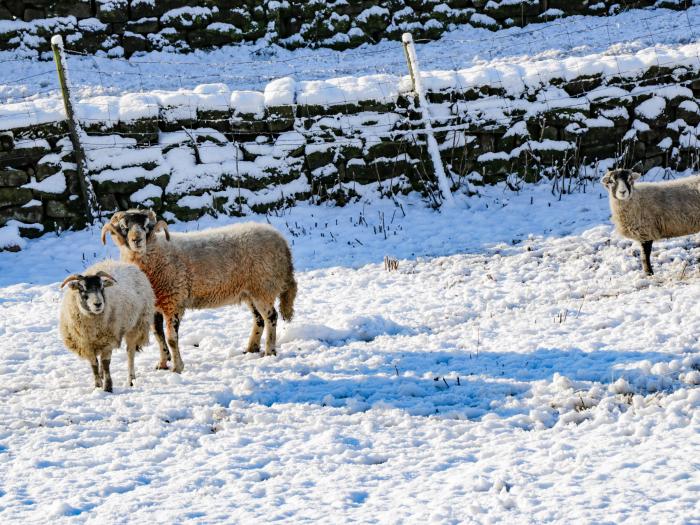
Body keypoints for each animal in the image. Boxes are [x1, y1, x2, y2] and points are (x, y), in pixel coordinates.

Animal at [59, 260, 156, 390]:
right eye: (82, 289)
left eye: (102, 287)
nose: (98, 304)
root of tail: (126, 264)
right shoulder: (86, 344)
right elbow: (94, 364)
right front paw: (98, 385)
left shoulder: (108, 340)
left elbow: (106, 364)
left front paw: (108, 387)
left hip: (136, 325)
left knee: (130, 353)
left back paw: (131, 379)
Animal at [100, 207, 296, 370]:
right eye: (124, 227)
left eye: (147, 226)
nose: (137, 240)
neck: (156, 255)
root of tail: (282, 241)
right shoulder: (155, 305)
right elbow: (158, 336)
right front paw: (162, 363)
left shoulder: (174, 301)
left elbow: (171, 339)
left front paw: (177, 367)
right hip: (250, 291)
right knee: (259, 319)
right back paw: (251, 348)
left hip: (264, 286)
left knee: (271, 317)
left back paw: (270, 351)